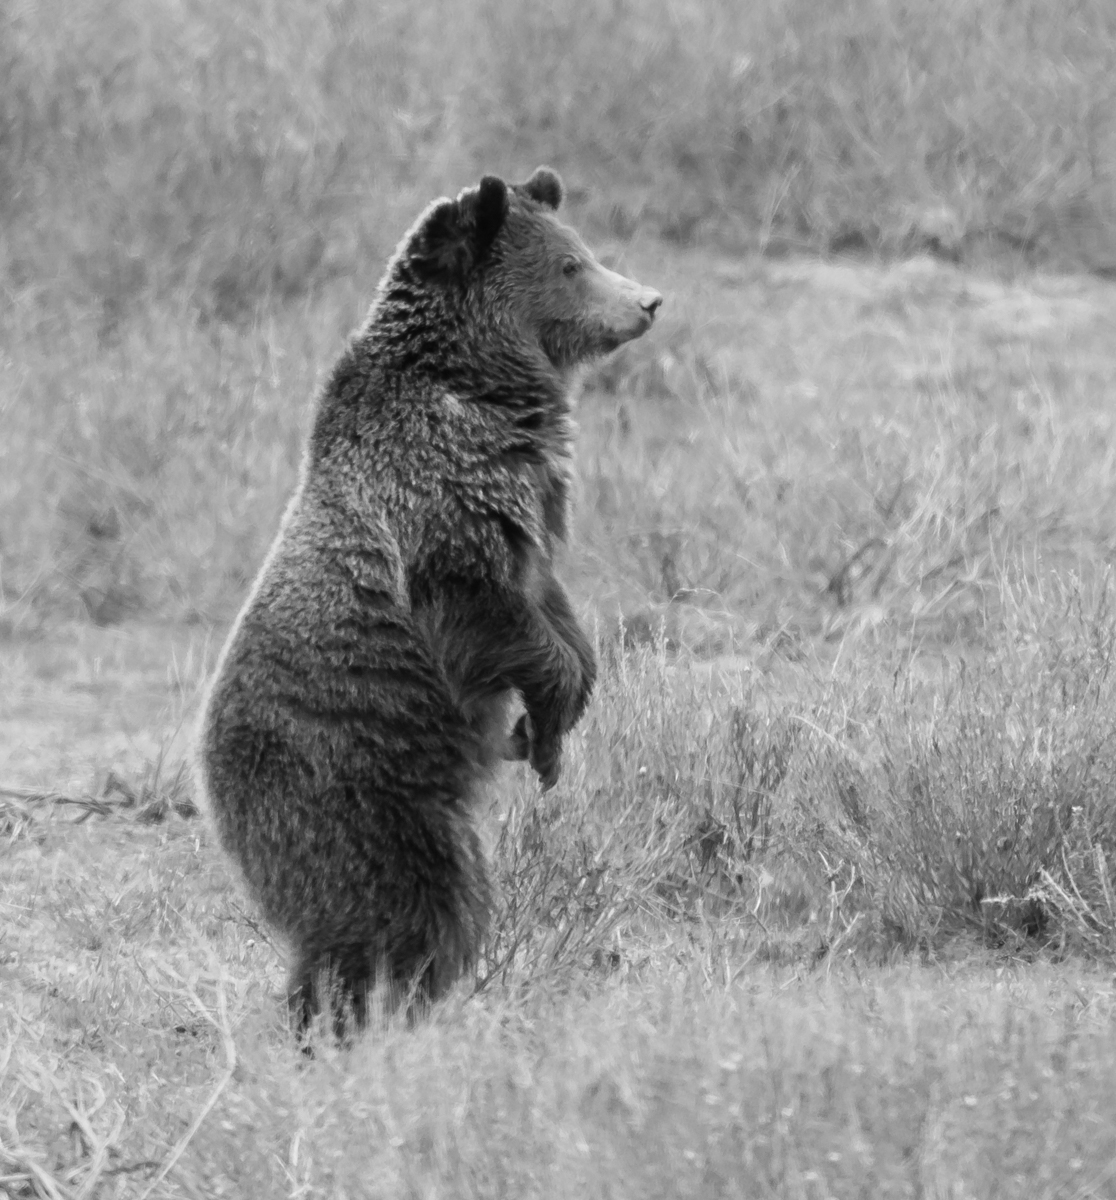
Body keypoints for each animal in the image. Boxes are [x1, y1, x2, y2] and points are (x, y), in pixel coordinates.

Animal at [196, 167, 662, 1035]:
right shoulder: (439, 507)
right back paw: (361, 1020)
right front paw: (546, 725)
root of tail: (207, 791)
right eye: (572, 266)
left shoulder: (533, 506)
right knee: (407, 906)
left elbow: (556, 612)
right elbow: (489, 614)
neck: (480, 388)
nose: (649, 300)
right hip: (353, 787)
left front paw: (551, 730)